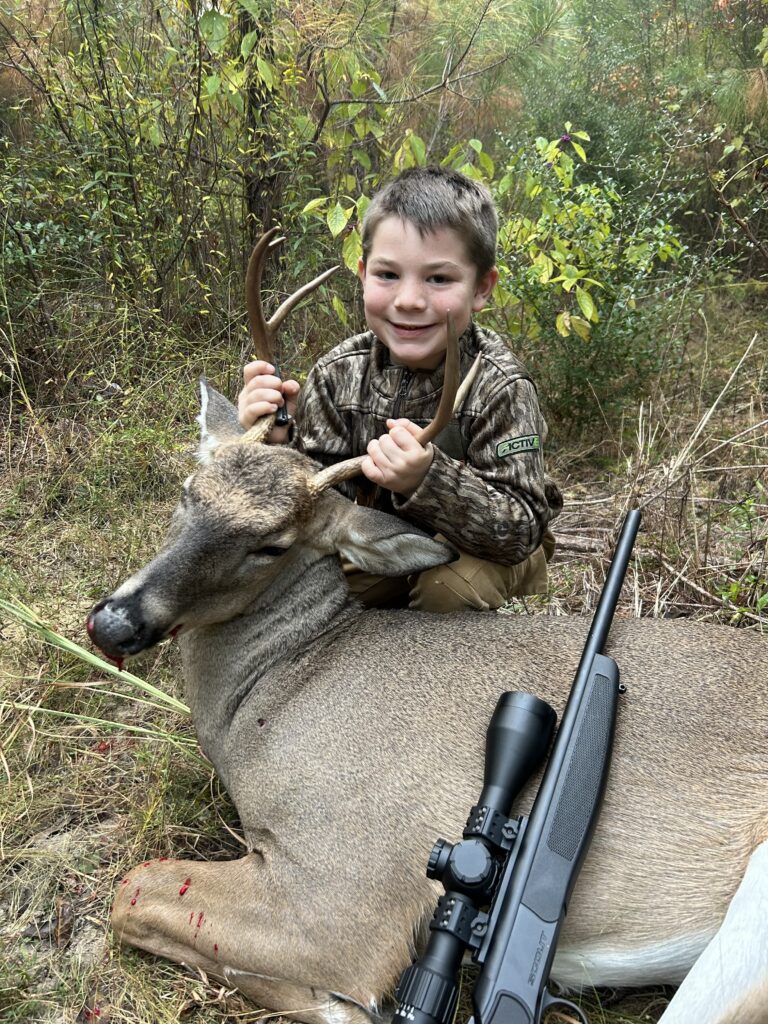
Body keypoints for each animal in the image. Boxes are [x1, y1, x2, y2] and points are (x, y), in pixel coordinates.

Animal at [87, 230, 768, 1024]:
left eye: (272, 545)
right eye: (187, 491)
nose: (114, 622)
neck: (275, 697)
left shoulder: (347, 886)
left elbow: (131, 888)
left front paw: (348, 1006)